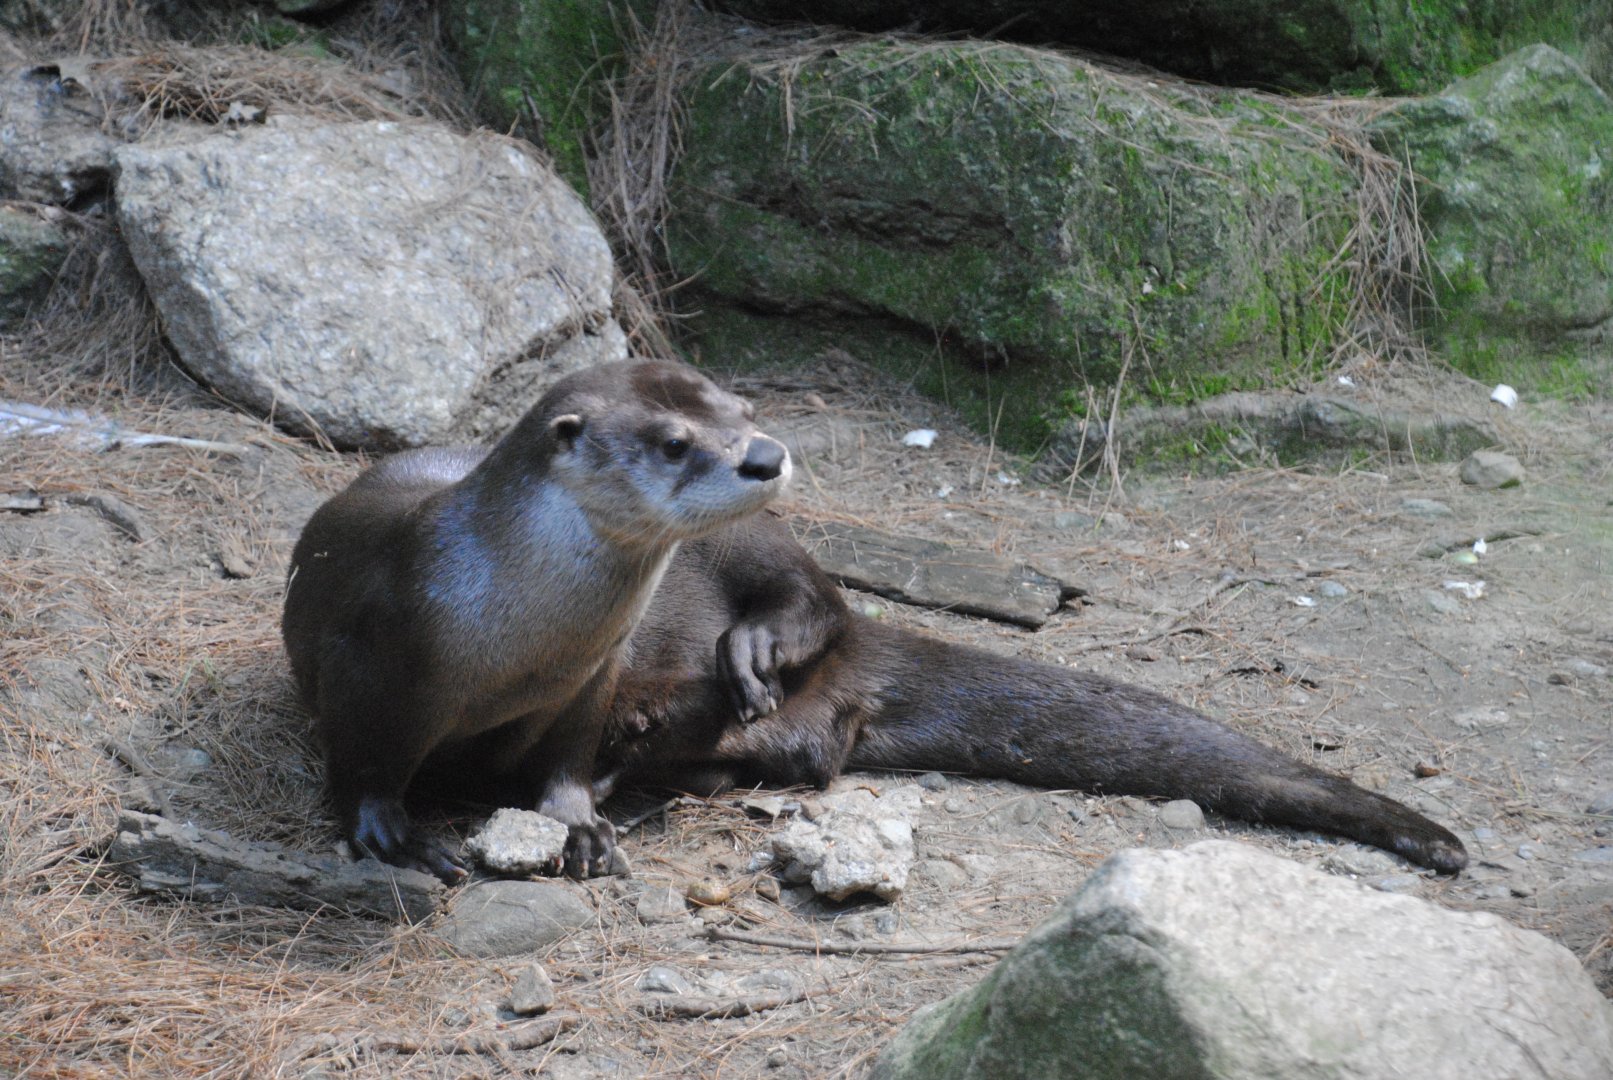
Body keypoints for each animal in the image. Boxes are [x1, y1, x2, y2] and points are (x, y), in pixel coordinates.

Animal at [282, 360, 791, 882]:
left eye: (748, 412)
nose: (767, 455)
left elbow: (571, 753)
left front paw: (579, 826)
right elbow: (362, 764)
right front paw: (393, 838)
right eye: (673, 443)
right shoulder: (367, 657)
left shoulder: (592, 677)